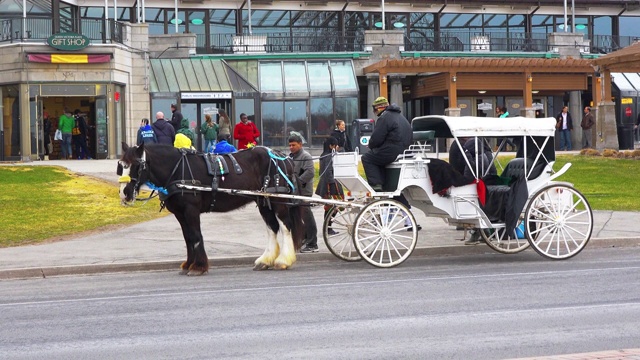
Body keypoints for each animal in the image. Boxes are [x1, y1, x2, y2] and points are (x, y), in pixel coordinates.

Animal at [120, 143, 310, 276]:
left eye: (136, 165)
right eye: (121, 165)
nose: (124, 193)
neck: (177, 169)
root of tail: (283, 157)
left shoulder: (191, 210)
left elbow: (196, 236)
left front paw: (198, 266)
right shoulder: (180, 214)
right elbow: (188, 238)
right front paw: (188, 264)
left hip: (278, 200)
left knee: (285, 226)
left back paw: (283, 260)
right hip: (264, 201)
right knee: (272, 228)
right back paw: (265, 260)